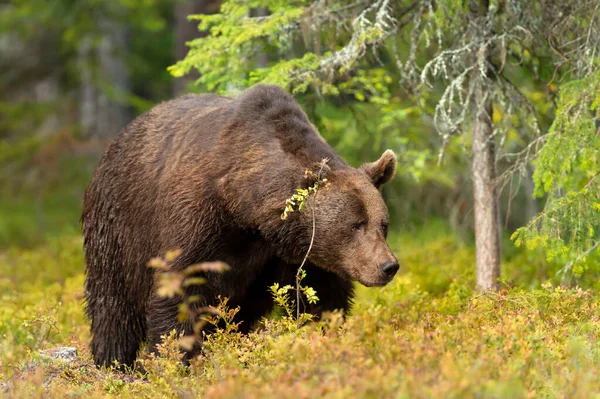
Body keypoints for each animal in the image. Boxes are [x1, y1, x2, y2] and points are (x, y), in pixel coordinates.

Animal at [79, 84, 398, 368]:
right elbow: (180, 288)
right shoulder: (199, 220)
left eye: (383, 224)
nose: (388, 266)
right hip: (119, 227)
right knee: (113, 302)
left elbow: (322, 302)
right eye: (356, 225)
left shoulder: (297, 257)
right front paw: (171, 359)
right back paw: (113, 361)